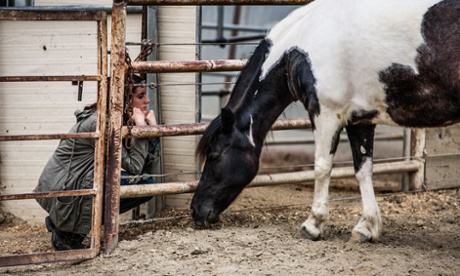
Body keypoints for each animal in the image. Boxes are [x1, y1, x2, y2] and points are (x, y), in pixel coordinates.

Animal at [190, 0, 460, 243]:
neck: (304, 44)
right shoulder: (360, 120)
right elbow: (363, 169)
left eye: (214, 155)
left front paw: (313, 224)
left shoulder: (326, 113)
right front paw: (366, 227)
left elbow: (322, 167)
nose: (196, 211)